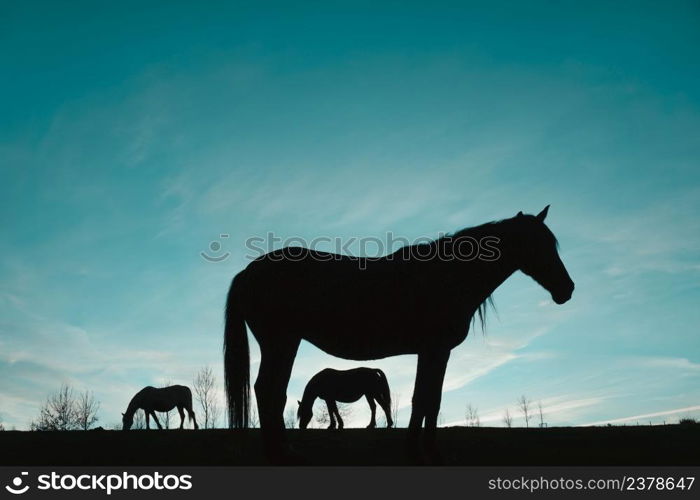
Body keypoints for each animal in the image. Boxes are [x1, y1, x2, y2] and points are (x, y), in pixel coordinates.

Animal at [224, 205, 576, 462]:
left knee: (274, 392)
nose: (567, 289)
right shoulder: (436, 350)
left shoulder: (431, 352)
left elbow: (426, 400)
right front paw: (425, 451)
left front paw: (418, 449)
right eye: (537, 244)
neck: (448, 275)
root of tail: (248, 272)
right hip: (281, 342)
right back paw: (277, 452)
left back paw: (283, 448)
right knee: (268, 390)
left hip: (285, 343)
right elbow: (427, 399)